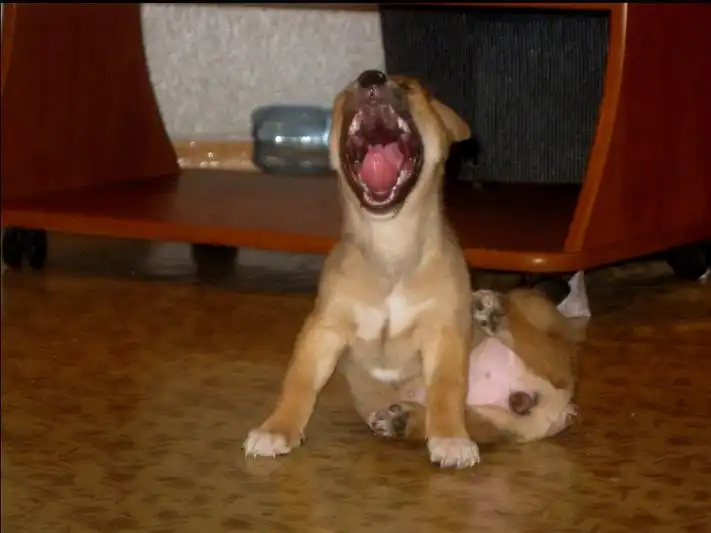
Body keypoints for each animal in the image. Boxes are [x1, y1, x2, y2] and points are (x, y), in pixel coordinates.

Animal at [243, 70, 479, 468]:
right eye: (348, 90)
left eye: (409, 87)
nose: (371, 78)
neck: (389, 244)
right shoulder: (324, 328)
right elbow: (297, 380)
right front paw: (277, 428)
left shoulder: (444, 332)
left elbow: (448, 387)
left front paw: (450, 437)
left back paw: (407, 420)